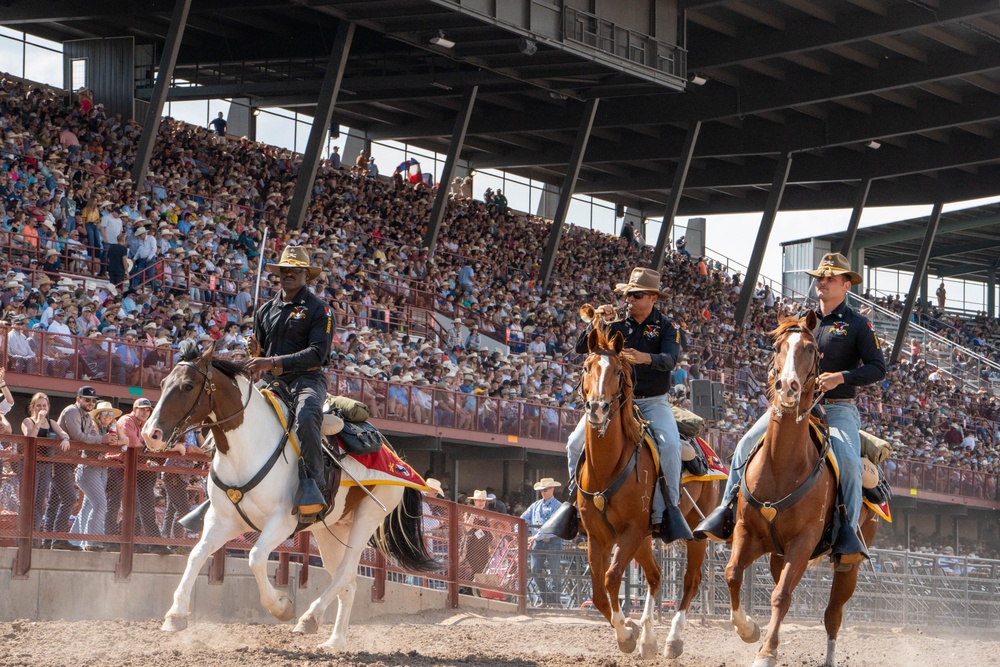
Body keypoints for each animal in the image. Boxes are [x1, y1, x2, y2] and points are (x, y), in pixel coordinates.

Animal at [142, 342, 438, 648]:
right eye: (163, 384)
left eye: (188, 386)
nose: (150, 434)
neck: (248, 447)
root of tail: (393, 452)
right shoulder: (223, 519)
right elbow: (197, 554)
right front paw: (175, 615)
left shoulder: (282, 521)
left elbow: (256, 557)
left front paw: (281, 607)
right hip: (331, 530)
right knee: (348, 583)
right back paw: (334, 642)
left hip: (368, 516)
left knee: (344, 574)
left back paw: (309, 618)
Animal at [580, 322, 720, 656]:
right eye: (587, 366)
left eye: (619, 371)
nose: (597, 408)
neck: (608, 467)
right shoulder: (597, 535)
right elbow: (598, 591)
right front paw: (631, 630)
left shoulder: (631, 530)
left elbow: (612, 578)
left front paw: (625, 635)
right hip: (645, 538)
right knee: (656, 576)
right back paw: (648, 639)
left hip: (695, 530)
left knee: (691, 580)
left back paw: (673, 640)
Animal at [724, 314, 880, 667]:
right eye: (777, 347)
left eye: (811, 349)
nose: (788, 386)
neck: (781, 465)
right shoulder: (747, 530)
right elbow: (733, 574)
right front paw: (748, 631)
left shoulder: (804, 541)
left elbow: (781, 595)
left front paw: (767, 653)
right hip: (776, 553)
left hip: (849, 564)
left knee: (833, 614)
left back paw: (828, 659)